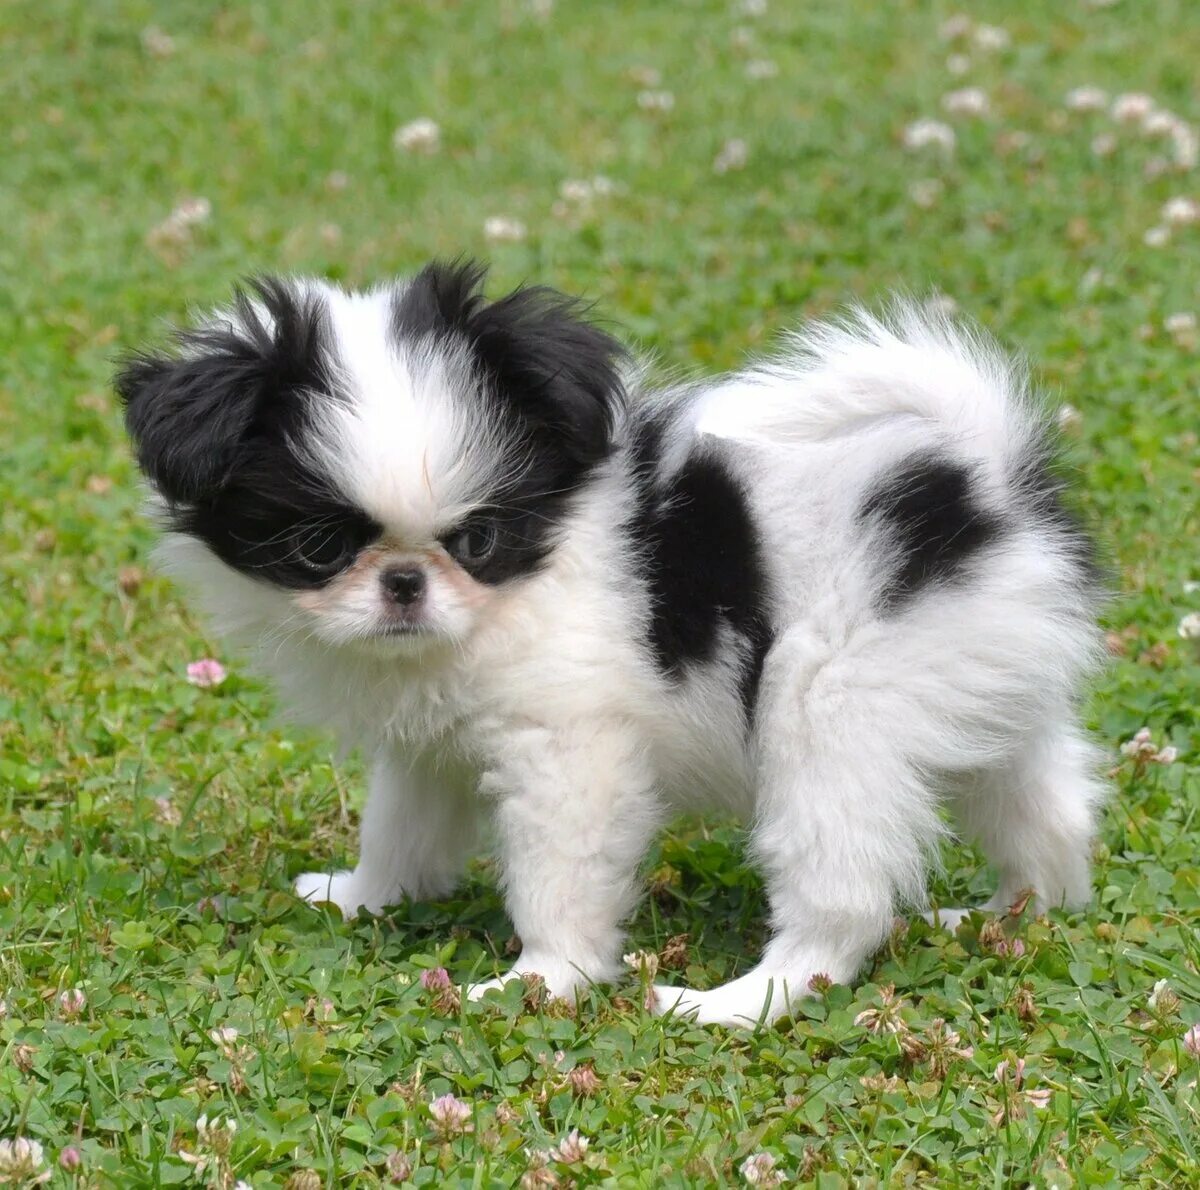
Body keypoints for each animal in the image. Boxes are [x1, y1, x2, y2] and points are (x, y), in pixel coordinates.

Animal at [117, 260, 1099, 1022]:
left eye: (480, 539)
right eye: (319, 547)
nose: (404, 583)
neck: (517, 586)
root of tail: (987, 484)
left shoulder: (568, 749)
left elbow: (559, 877)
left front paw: (542, 981)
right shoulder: (429, 746)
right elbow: (401, 827)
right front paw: (364, 898)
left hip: (830, 713)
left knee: (843, 900)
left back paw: (739, 1002)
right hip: (977, 696)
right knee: (1046, 815)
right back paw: (1006, 915)